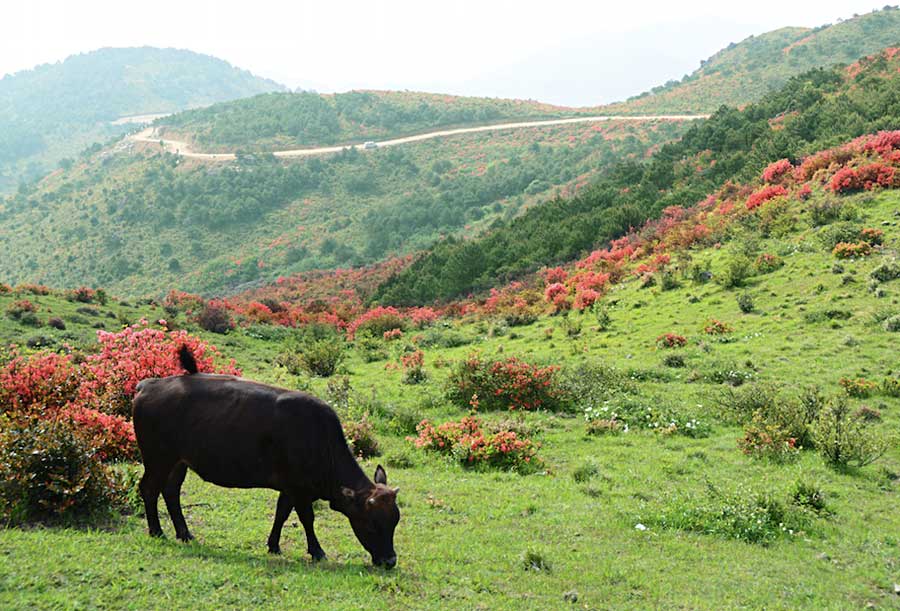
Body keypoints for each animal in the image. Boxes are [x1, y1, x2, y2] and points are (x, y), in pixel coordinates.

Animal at [132, 346, 400, 572]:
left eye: (395, 522)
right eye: (372, 524)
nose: (390, 561)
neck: (318, 439)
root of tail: (149, 384)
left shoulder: (289, 489)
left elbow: (281, 514)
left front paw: (274, 545)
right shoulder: (299, 491)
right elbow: (307, 519)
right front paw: (317, 551)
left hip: (178, 462)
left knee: (171, 492)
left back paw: (184, 533)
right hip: (157, 459)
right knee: (149, 489)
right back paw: (157, 531)